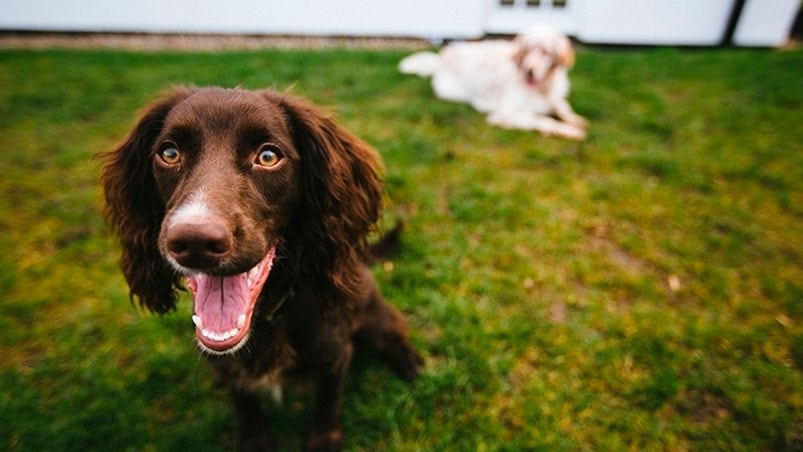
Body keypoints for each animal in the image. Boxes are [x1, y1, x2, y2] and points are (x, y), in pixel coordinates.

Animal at [398, 23, 588, 140]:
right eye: (527, 50)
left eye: (545, 52)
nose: (529, 70)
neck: (543, 87)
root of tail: (441, 59)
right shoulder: (506, 113)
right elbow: (543, 120)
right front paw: (569, 131)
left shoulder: (553, 98)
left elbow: (563, 107)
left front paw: (575, 120)